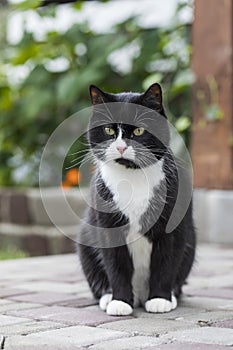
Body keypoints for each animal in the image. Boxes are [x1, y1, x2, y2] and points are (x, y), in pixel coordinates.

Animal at [77, 83, 196, 316]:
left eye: (139, 130)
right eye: (109, 130)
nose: (122, 147)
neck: (132, 177)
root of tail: (140, 295)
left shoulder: (172, 228)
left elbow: (165, 264)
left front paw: (160, 299)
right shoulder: (107, 227)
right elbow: (116, 265)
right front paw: (120, 302)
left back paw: (169, 297)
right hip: (86, 239)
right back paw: (108, 297)